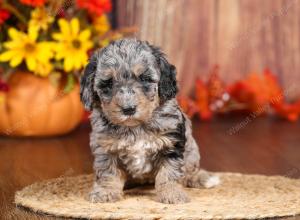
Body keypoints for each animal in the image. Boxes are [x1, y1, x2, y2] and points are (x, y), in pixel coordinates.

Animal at [81, 38, 219, 205]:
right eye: (108, 83)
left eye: (145, 78)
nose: (128, 109)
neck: (135, 127)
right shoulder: (105, 147)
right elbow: (108, 172)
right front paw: (105, 192)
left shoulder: (171, 143)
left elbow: (170, 172)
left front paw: (172, 193)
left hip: (192, 149)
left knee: (189, 170)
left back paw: (201, 178)